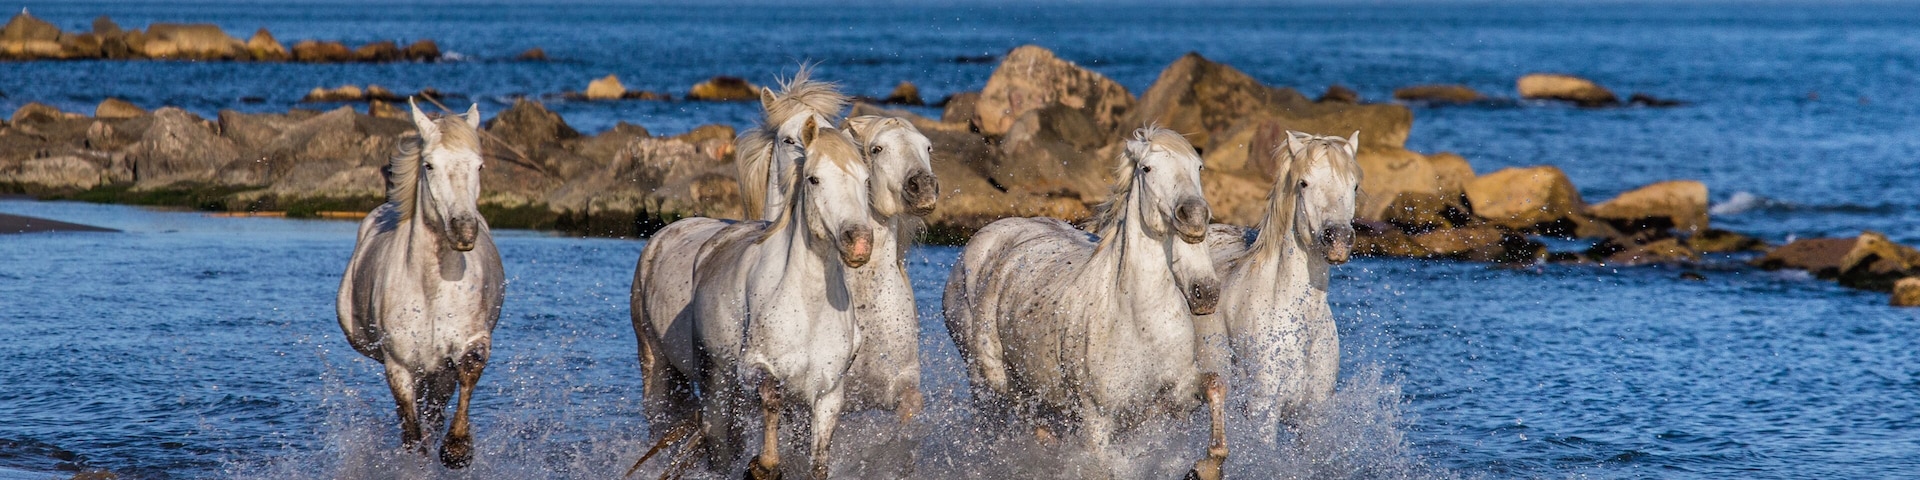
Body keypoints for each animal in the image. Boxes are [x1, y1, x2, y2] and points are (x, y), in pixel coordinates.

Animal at [337, 100, 506, 469]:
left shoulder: (464, 347)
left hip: (437, 374)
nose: (463, 230)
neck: (431, 291)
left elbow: (470, 369)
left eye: (479, 166)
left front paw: (457, 450)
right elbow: (411, 432)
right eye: (429, 165)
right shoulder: (398, 366)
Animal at [688, 120, 873, 479]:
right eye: (814, 179)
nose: (859, 242)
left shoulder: (828, 393)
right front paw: (764, 466)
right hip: (716, 378)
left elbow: (818, 461)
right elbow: (771, 397)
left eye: (866, 179)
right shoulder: (754, 368)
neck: (807, 306)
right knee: (718, 435)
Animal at [942, 126, 1230, 479]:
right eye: (1147, 168)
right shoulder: (1097, 420)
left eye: (1198, 167)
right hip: (988, 387)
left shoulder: (1177, 393)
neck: (1138, 323)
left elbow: (1215, 385)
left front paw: (1206, 467)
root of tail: (984, 237)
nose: (1194, 218)